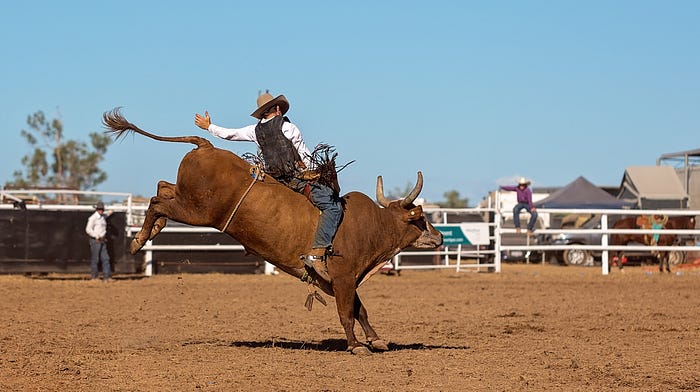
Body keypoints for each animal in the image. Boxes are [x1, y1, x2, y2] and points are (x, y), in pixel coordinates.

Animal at [102, 108, 442, 356]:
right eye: (421, 218)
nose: (439, 237)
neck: (372, 225)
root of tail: (206, 146)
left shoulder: (342, 280)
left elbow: (361, 310)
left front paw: (376, 340)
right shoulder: (344, 277)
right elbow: (347, 312)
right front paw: (357, 346)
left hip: (187, 199)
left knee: (162, 188)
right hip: (196, 211)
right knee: (158, 201)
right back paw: (137, 241)